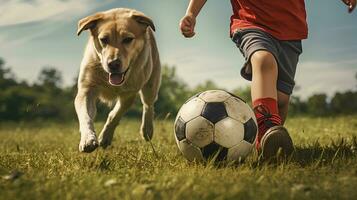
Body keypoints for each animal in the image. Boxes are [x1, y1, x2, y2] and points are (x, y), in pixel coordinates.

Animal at [75, 7, 160, 152]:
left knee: (148, 104)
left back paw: (147, 130)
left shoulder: (129, 93)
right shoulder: (86, 89)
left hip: (151, 82)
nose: (113, 63)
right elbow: (86, 116)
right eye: (103, 39)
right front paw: (88, 139)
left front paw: (105, 137)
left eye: (128, 39)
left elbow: (115, 115)